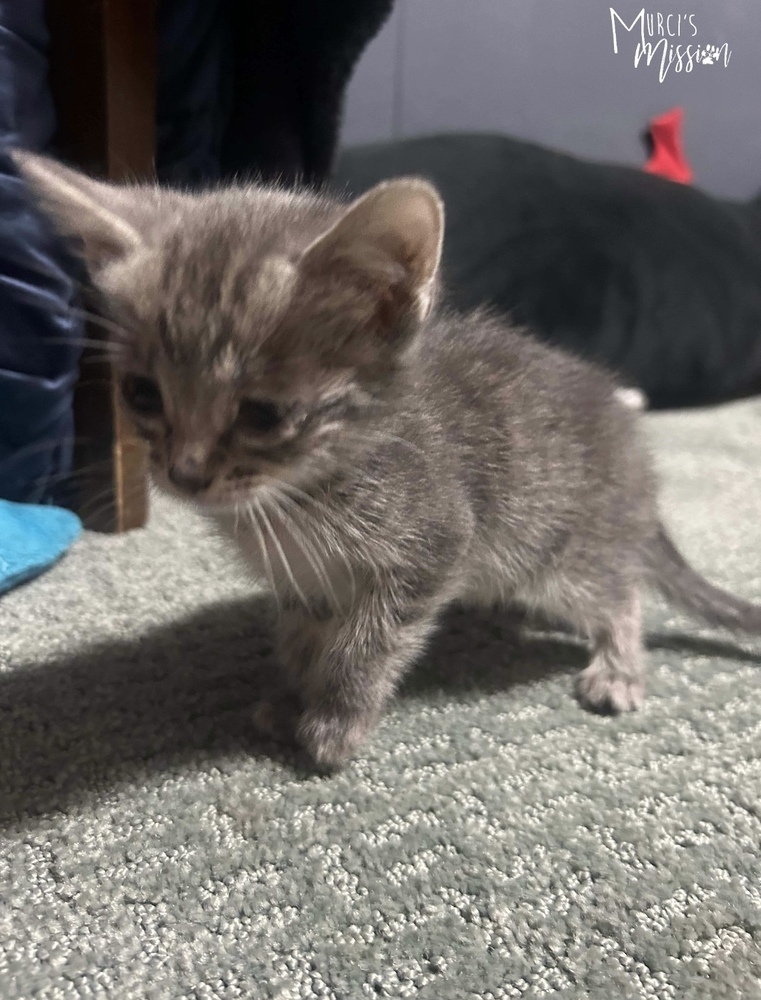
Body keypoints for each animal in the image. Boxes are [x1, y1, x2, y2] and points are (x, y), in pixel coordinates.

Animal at [17, 152, 760, 768]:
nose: (185, 474)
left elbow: (363, 647)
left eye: (263, 414)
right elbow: (303, 642)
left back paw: (618, 667)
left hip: (556, 554)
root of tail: (631, 438)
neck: (297, 497)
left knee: (620, 593)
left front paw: (335, 721)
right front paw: (293, 698)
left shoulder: (431, 547)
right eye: (141, 394)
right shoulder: (304, 585)